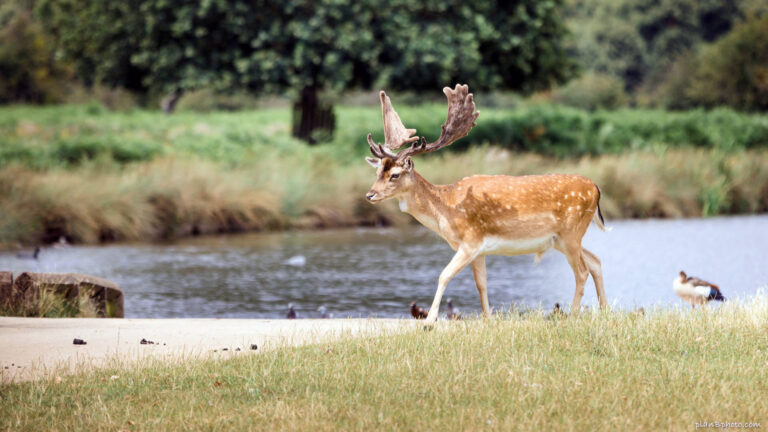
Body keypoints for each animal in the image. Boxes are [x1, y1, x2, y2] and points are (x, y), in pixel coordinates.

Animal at [366, 84, 612, 322]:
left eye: (395, 175)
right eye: (378, 172)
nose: (370, 195)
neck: (446, 208)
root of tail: (596, 188)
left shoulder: (470, 241)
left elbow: (444, 275)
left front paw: (429, 321)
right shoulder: (479, 250)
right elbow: (481, 284)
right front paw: (488, 319)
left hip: (571, 232)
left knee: (582, 271)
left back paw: (573, 314)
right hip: (560, 239)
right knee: (596, 260)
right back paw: (605, 311)